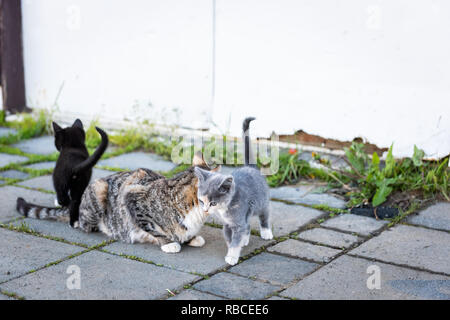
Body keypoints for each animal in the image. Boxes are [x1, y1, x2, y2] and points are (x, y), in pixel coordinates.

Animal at [15, 152, 216, 252]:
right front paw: (169, 242)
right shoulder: (132, 198)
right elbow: (153, 228)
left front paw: (191, 237)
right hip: (98, 189)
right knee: (84, 224)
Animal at [195, 117, 272, 264]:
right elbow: (230, 238)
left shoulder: (238, 221)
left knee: (264, 216)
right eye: (201, 201)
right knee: (247, 225)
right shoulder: (227, 224)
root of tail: (250, 167)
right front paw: (233, 247)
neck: (226, 207)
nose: (206, 210)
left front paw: (232, 256)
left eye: (213, 203)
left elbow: (236, 240)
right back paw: (245, 239)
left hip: (262, 202)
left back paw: (266, 232)